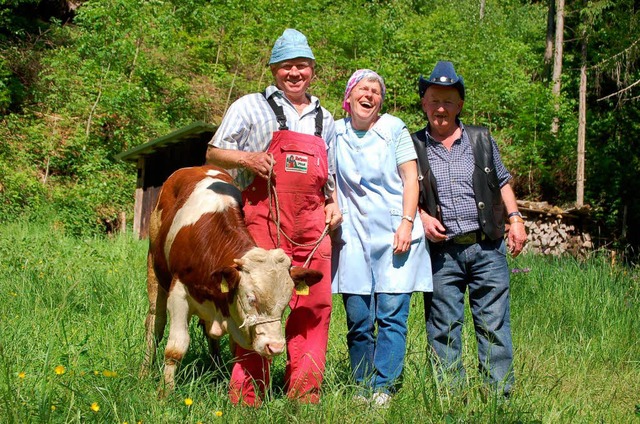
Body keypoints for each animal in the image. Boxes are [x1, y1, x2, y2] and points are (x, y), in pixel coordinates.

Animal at [140, 166, 320, 394]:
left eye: (287, 303)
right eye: (251, 299)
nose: (276, 347)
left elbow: (238, 352)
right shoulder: (178, 292)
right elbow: (175, 349)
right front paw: (165, 393)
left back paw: (215, 369)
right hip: (153, 267)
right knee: (155, 322)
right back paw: (145, 371)